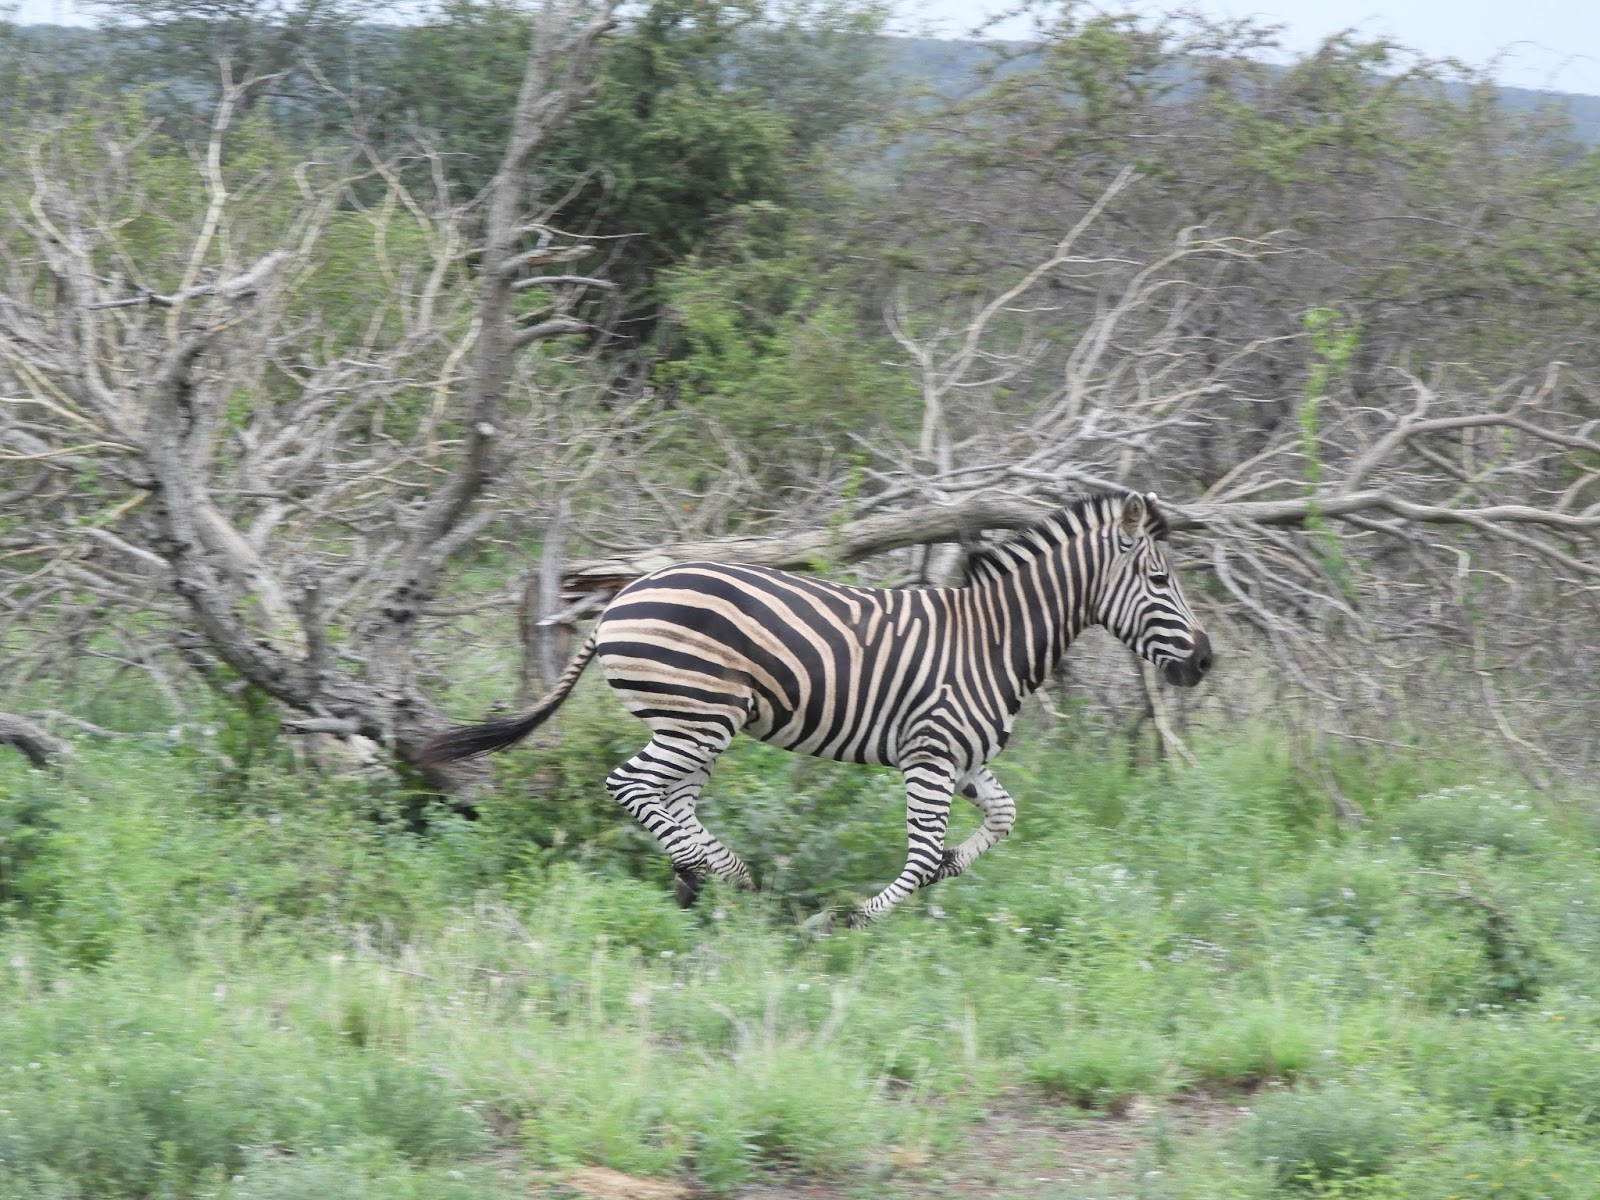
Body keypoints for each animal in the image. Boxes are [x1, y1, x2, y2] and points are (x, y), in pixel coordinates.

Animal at [420, 490, 1212, 927]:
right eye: (1160, 580)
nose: (1206, 661)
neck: (991, 641)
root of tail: (622, 595)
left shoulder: (963, 758)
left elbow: (999, 821)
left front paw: (951, 868)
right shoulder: (930, 753)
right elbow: (920, 856)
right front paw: (851, 919)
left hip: (693, 722)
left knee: (669, 801)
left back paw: (702, 882)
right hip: (699, 714)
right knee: (632, 786)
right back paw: (728, 876)